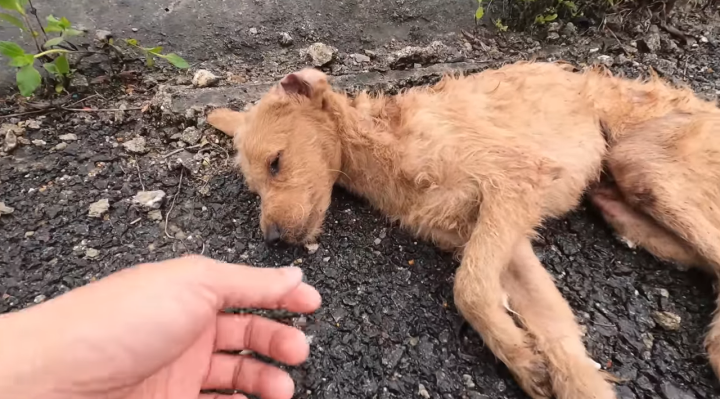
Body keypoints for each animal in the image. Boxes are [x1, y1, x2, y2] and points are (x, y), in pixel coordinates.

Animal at [205, 60, 720, 399]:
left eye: (276, 163)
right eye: (253, 187)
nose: (272, 240)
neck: (385, 144)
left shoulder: (514, 180)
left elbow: (467, 287)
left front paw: (520, 356)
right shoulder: (502, 242)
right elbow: (556, 334)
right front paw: (528, 360)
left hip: (646, 164)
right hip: (630, 178)